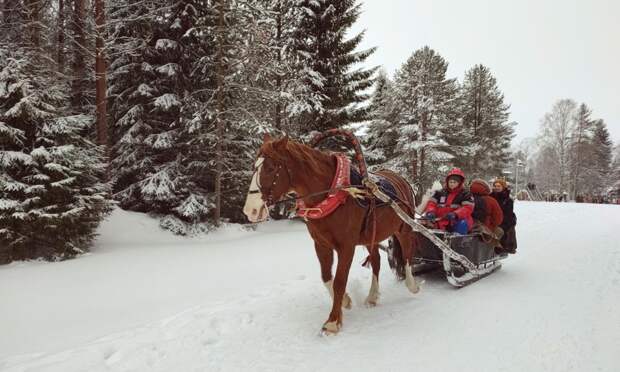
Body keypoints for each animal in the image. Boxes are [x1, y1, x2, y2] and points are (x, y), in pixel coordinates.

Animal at [243, 135, 422, 336]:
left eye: (271, 168)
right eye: (254, 166)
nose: (251, 210)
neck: (334, 194)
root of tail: (401, 180)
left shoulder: (346, 247)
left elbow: (339, 281)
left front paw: (333, 322)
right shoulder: (321, 244)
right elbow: (327, 277)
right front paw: (345, 301)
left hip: (404, 228)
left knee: (407, 255)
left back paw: (412, 285)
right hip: (372, 236)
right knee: (376, 260)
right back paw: (372, 296)